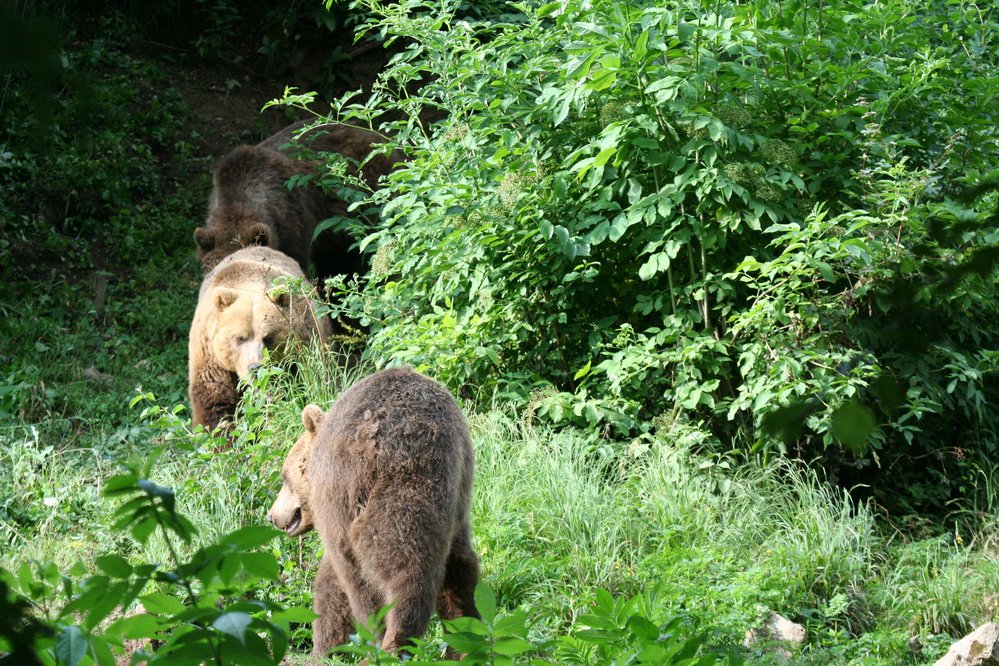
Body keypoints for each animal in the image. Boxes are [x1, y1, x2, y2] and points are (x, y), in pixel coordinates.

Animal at [191, 246, 336, 428]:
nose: (255, 368)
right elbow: (216, 407)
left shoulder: (300, 349)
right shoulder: (212, 360)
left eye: (268, 337)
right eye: (240, 338)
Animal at [268, 366, 482, 656]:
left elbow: (335, 577)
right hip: (444, 481)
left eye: (283, 475)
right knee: (453, 565)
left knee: (387, 572)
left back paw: (387, 642)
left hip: (382, 489)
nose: (271, 515)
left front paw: (322, 645)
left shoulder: (335, 509)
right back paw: (466, 643)